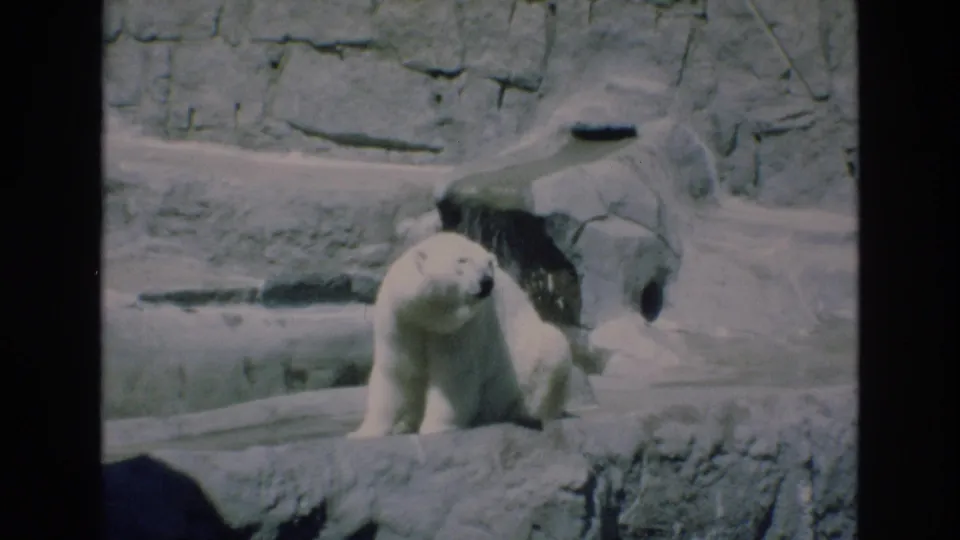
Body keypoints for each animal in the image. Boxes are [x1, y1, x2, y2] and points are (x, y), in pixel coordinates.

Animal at [347, 232, 573, 438]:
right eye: (462, 260)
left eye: (489, 264)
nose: (486, 282)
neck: (429, 316)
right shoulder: (401, 318)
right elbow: (396, 371)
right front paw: (365, 432)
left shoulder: (463, 327)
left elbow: (454, 373)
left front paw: (436, 427)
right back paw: (406, 424)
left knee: (551, 350)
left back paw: (521, 413)